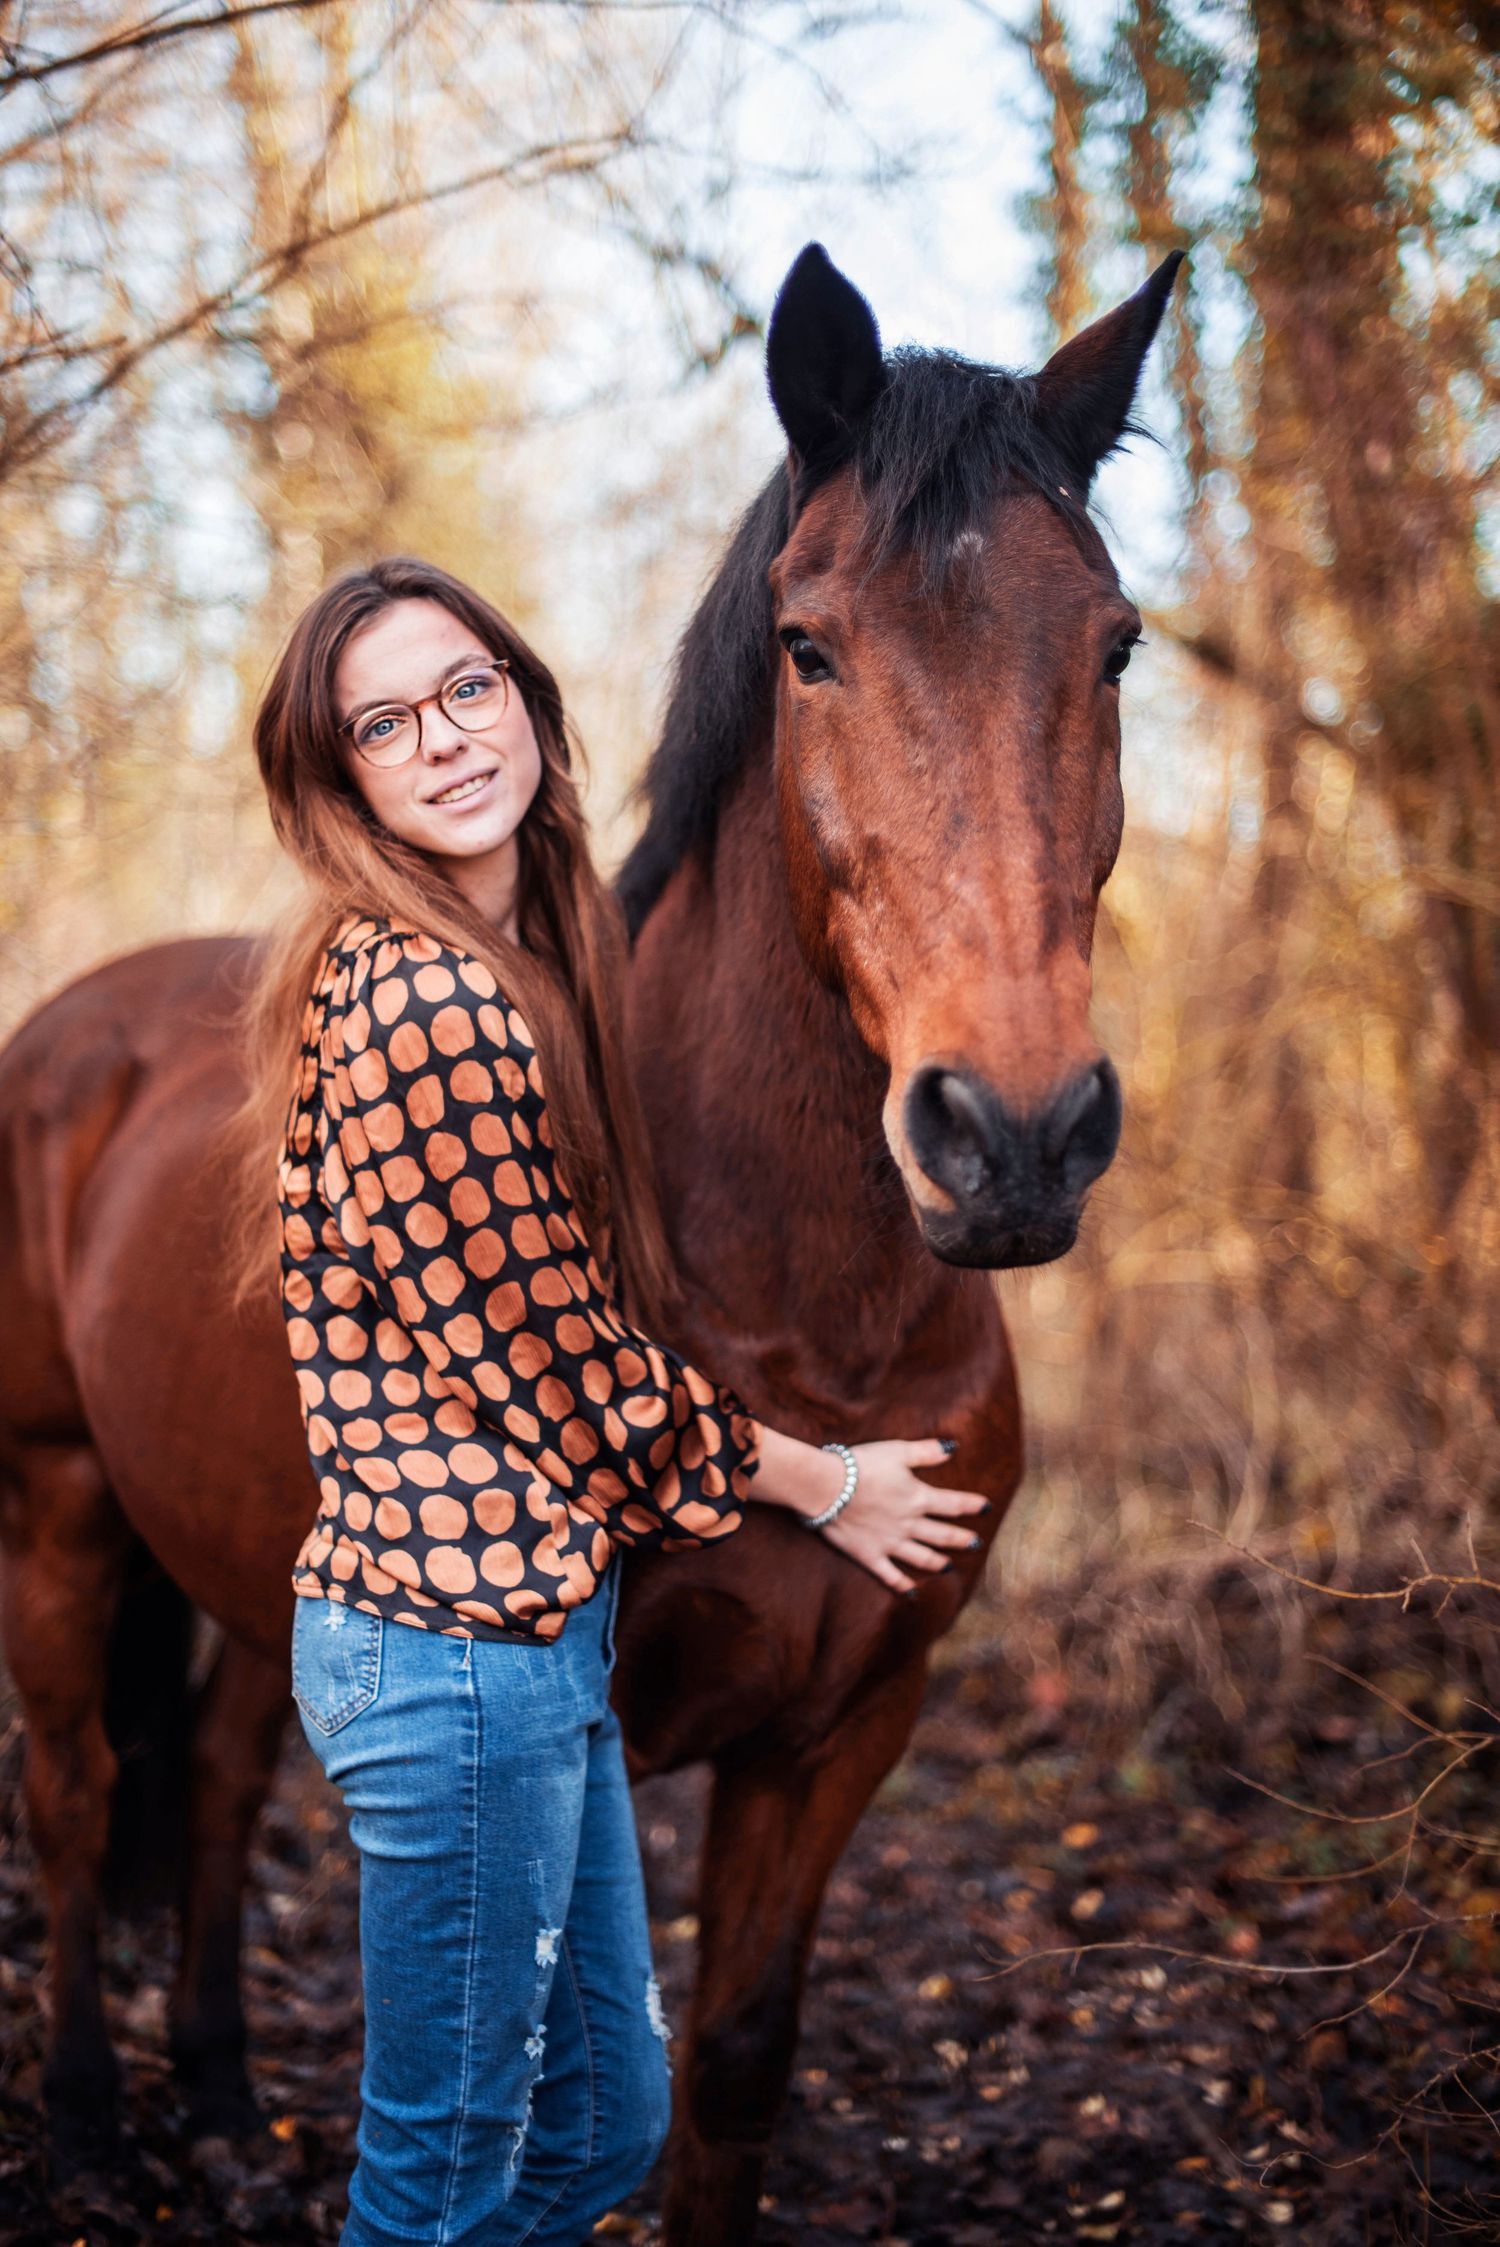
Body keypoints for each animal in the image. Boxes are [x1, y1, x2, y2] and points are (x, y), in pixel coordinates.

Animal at [0, 240, 1180, 2243]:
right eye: (808, 645)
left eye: (1114, 645)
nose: (1014, 1133)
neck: (804, 1321)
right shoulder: (594, 1737)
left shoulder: (841, 1729)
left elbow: (732, 2067)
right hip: (60, 1502)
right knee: (81, 1796)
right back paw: (86, 2113)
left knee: (219, 1782)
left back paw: (222, 2094)